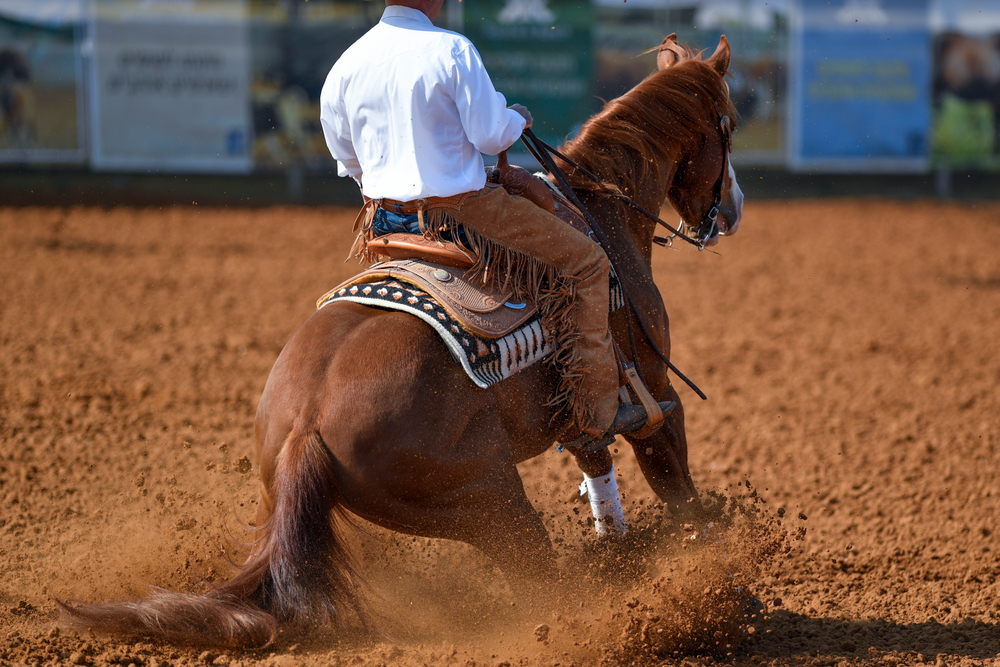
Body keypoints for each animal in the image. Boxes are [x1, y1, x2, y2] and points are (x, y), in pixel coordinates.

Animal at [56, 34, 744, 648]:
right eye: (730, 125)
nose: (731, 211)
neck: (601, 217)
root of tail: (304, 427)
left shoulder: (582, 416)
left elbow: (600, 473)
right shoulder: (653, 395)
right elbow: (679, 490)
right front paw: (717, 571)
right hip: (493, 502)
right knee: (543, 593)